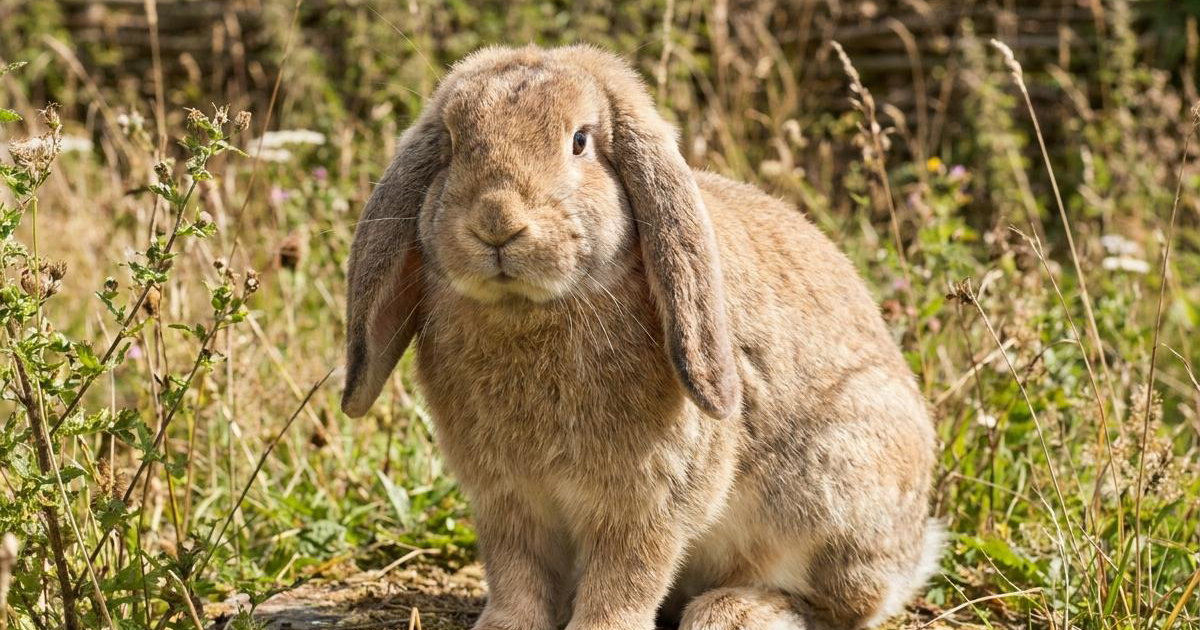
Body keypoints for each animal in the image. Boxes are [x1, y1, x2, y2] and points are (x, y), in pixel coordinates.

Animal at [342, 44, 942, 630]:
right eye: (452, 143)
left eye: (580, 141)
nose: (497, 222)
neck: (529, 309)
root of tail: (917, 549)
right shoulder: (507, 501)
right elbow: (518, 573)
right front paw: (504, 626)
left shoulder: (646, 499)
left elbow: (627, 573)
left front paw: (599, 627)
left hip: (834, 489)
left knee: (842, 603)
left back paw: (733, 613)